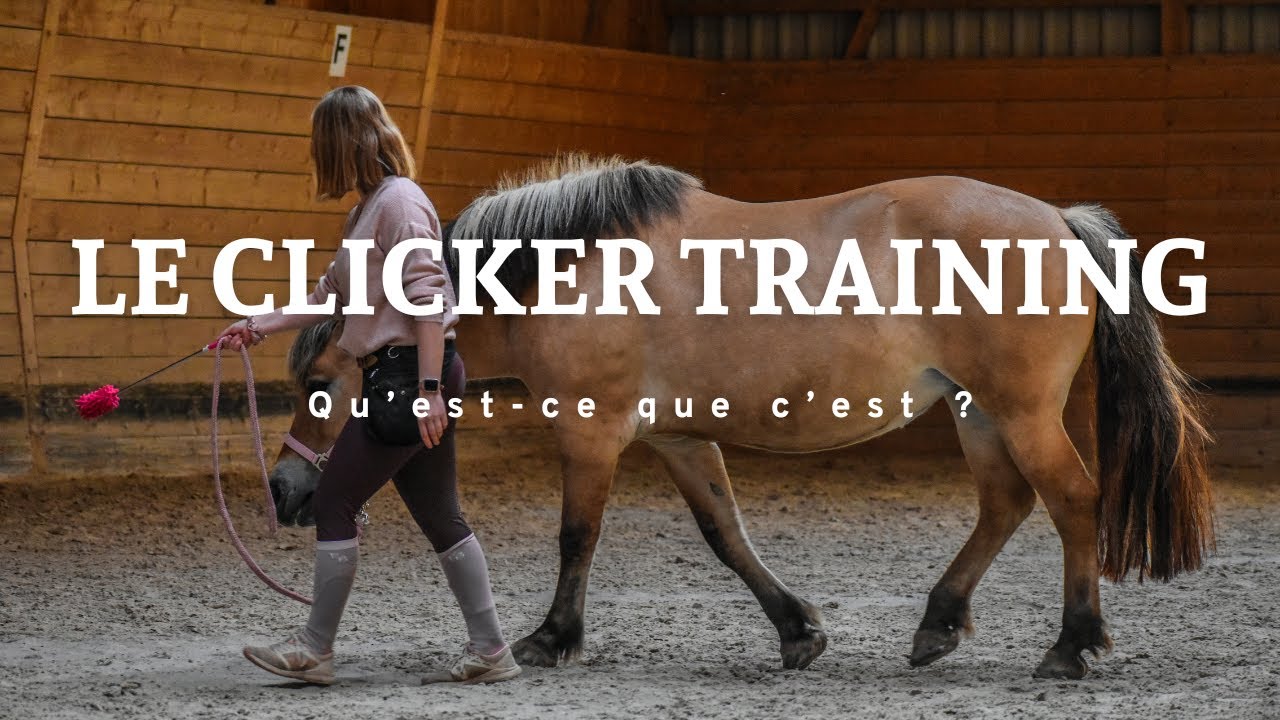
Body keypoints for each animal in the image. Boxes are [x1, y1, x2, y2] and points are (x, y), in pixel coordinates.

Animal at [267, 156, 1213, 679]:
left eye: (319, 376)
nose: (284, 491)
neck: (571, 265)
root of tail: (1058, 218)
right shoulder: (682, 438)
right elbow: (728, 536)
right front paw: (798, 631)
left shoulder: (592, 432)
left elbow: (578, 536)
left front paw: (552, 638)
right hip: (979, 412)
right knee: (1006, 507)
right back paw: (939, 624)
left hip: (1021, 413)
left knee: (1073, 502)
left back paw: (1072, 644)